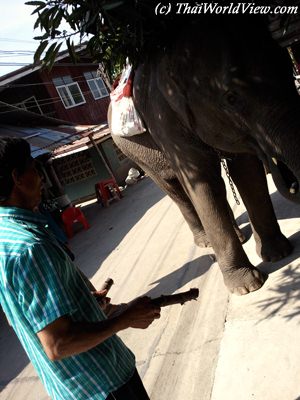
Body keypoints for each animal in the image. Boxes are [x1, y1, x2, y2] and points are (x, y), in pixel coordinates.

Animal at [110, 15, 300, 296]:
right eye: (231, 98)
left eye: (288, 67)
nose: (293, 183)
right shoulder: (164, 120)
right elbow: (201, 180)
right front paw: (247, 287)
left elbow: (246, 172)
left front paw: (278, 254)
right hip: (136, 154)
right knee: (174, 188)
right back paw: (205, 242)